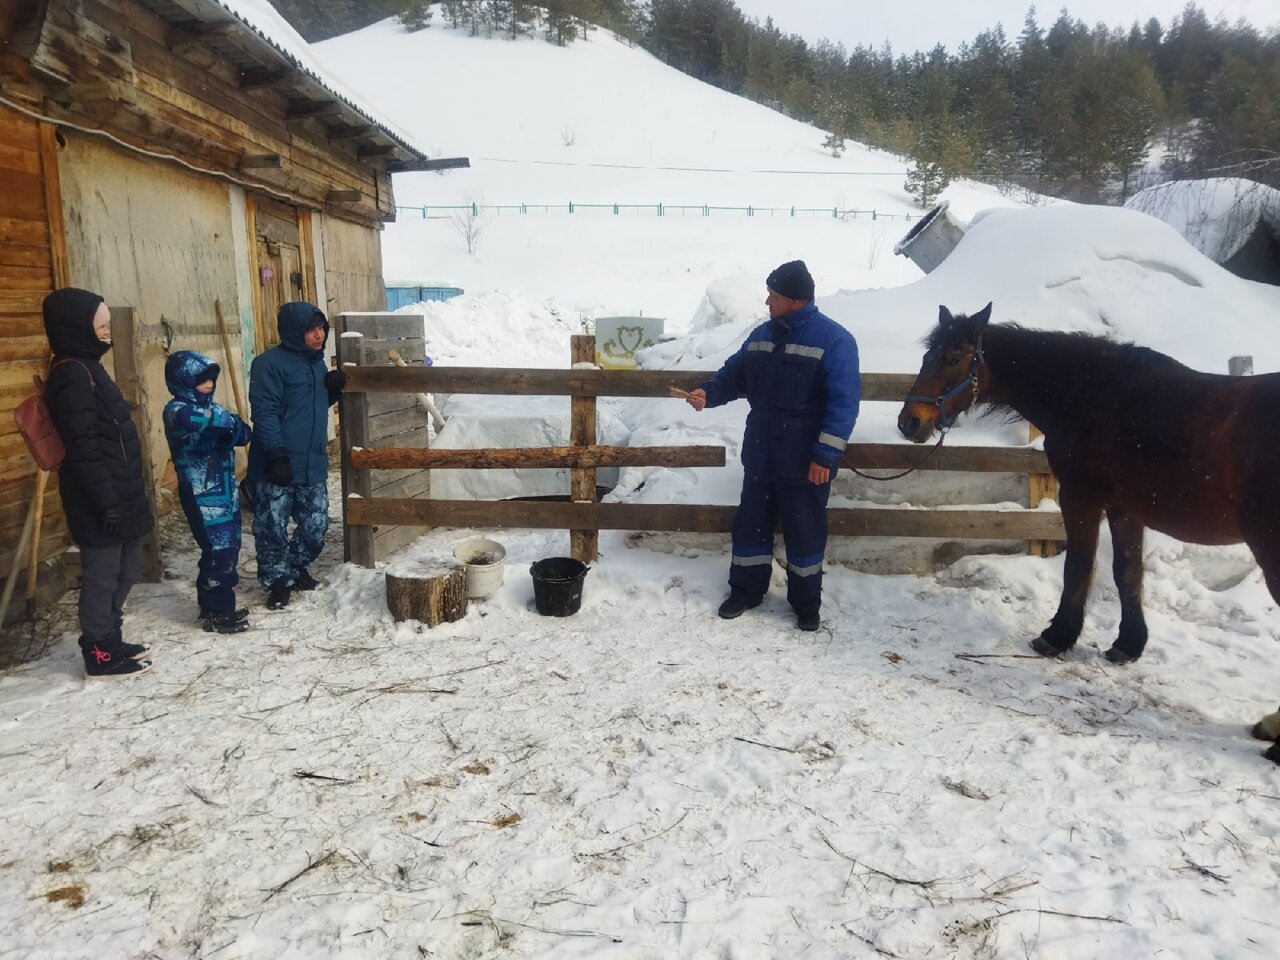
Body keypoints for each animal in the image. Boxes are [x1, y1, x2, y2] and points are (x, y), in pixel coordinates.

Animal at [901, 308, 1280, 768]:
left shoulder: (1081, 497)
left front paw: (1056, 636)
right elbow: (1127, 572)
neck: (1089, 392)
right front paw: (1127, 646)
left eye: (954, 358)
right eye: (928, 355)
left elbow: (1079, 566)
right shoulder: (1125, 508)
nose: (909, 422)